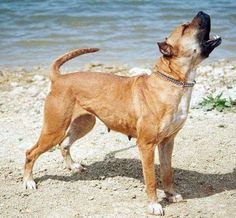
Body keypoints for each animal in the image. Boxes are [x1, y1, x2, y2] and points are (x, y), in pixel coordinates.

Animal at [23, 11, 220, 215]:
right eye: (185, 27)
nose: (202, 12)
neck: (172, 81)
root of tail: (59, 78)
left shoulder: (167, 142)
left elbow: (167, 172)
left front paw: (171, 195)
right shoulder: (146, 145)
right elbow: (151, 179)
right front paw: (154, 204)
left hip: (84, 124)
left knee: (64, 144)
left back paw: (73, 166)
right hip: (54, 130)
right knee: (31, 152)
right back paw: (29, 181)